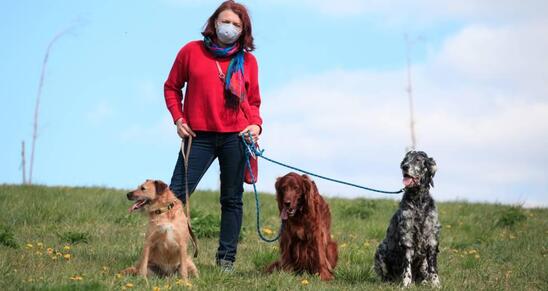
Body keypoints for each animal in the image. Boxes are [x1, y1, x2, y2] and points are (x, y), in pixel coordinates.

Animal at [374, 152, 438, 288]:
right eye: (405, 160)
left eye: (418, 159)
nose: (405, 167)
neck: (418, 200)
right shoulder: (407, 236)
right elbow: (407, 265)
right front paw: (406, 283)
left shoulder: (432, 238)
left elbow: (433, 267)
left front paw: (436, 284)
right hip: (381, 250)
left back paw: (424, 281)